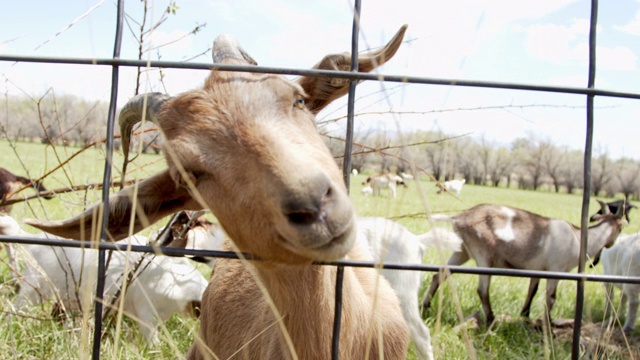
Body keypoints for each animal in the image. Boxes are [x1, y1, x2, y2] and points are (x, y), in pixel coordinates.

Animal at [420, 201, 624, 324]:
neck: (578, 237)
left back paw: (425, 307)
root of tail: (458, 218)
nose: (611, 244)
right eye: (621, 228)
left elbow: (532, 291)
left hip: (462, 250)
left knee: (439, 275)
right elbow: (551, 297)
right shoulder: (556, 269)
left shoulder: (538, 269)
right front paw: (548, 324)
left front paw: (525, 316)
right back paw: (491, 319)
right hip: (484, 255)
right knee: (482, 289)